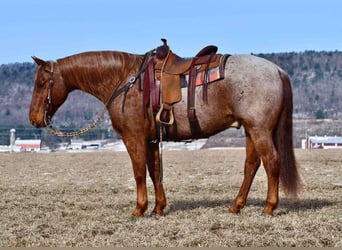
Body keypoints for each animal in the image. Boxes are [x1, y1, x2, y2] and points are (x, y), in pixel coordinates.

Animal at [29, 42, 302, 216]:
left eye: (41, 83)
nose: (34, 119)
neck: (125, 80)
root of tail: (277, 70)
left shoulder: (134, 138)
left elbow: (139, 172)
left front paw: (139, 209)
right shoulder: (151, 140)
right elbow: (154, 171)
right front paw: (158, 207)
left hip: (259, 130)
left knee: (271, 162)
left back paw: (269, 207)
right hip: (251, 130)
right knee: (251, 166)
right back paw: (237, 206)